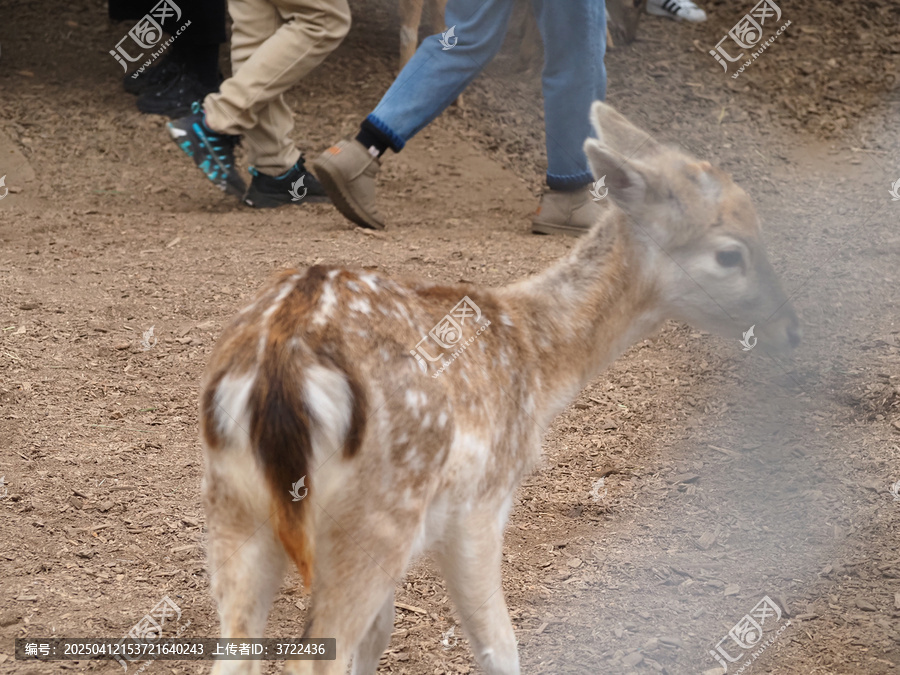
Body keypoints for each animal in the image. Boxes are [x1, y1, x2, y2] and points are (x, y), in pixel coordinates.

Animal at [199, 102, 800, 675]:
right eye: (730, 253)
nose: (790, 328)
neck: (537, 365)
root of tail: (279, 366)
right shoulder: (482, 505)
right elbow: (500, 648)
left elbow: (380, 636)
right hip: (378, 512)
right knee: (311, 655)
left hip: (235, 504)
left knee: (237, 653)